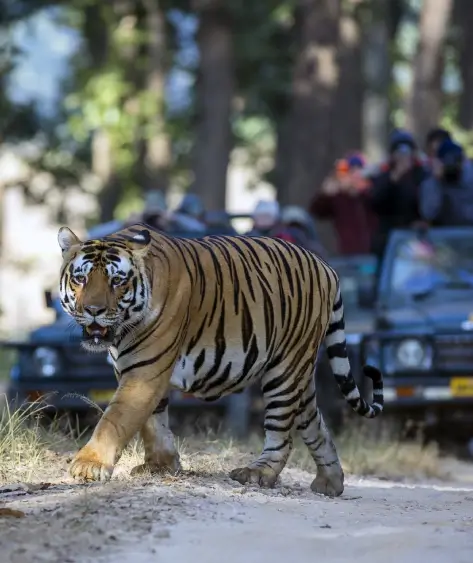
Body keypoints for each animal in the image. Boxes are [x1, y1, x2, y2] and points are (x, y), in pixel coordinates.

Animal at [57, 225, 382, 498]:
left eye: (117, 281)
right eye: (81, 278)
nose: (94, 310)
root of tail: (326, 267)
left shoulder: (144, 371)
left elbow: (116, 419)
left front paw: (89, 465)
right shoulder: (136, 370)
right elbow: (152, 422)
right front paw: (161, 465)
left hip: (285, 370)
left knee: (282, 432)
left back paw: (258, 473)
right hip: (301, 373)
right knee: (315, 423)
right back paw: (330, 482)